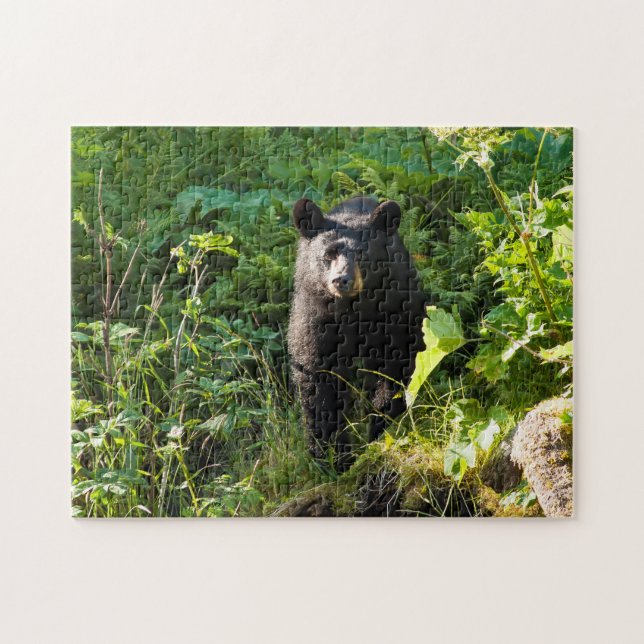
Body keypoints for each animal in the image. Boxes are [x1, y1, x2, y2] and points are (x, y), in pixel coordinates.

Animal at [288, 196, 428, 467]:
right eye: (329, 254)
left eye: (363, 253)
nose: (341, 280)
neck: (353, 310)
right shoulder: (315, 319)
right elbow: (320, 379)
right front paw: (331, 454)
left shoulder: (395, 311)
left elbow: (396, 364)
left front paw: (380, 424)